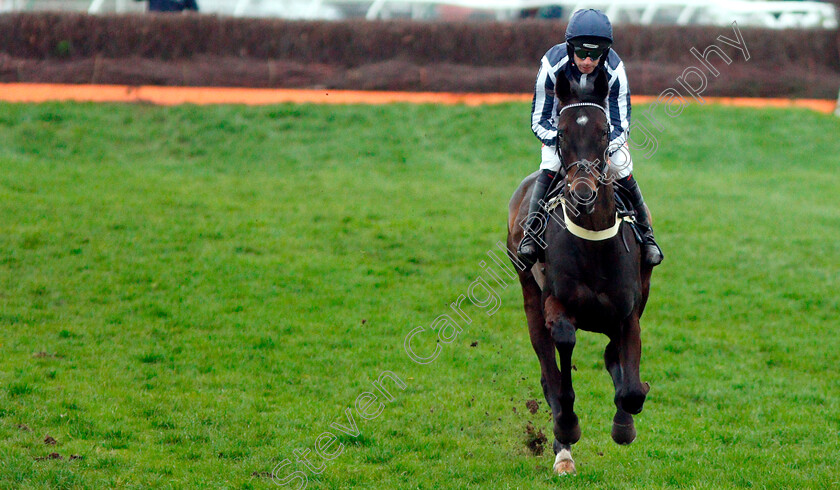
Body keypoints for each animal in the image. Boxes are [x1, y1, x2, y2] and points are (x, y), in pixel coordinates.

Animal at [508, 69, 652, 474]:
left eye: (604, 131)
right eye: (561, 133)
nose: (583, 193)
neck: (593, 243)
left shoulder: (628, 313)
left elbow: (629, 387)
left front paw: (624, 425)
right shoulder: (555, 304)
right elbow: (563, 357)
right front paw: (568, 428)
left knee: (610, 356)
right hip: (529, 298)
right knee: (549, 373)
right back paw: (563, 452)